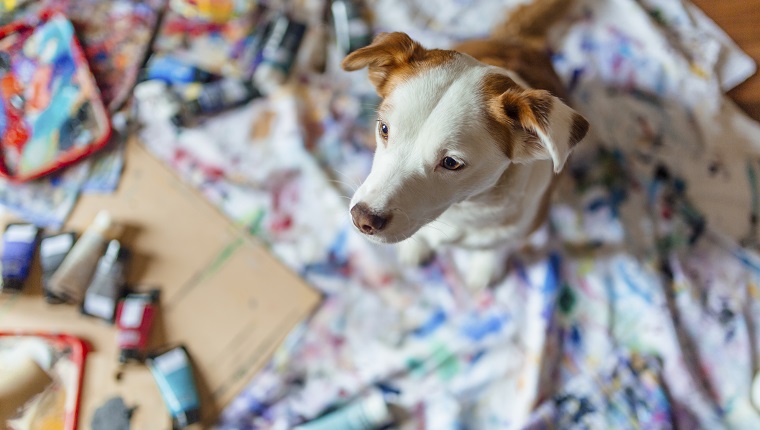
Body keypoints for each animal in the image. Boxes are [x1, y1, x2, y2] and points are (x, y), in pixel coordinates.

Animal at [342, 0, 588, 290]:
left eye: (451, 163)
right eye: (384, 129)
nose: (362, 219)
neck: (462, 209)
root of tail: (515, 40)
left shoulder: (525, 226)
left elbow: (498, 246)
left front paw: (486, 266)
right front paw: (416, 247)